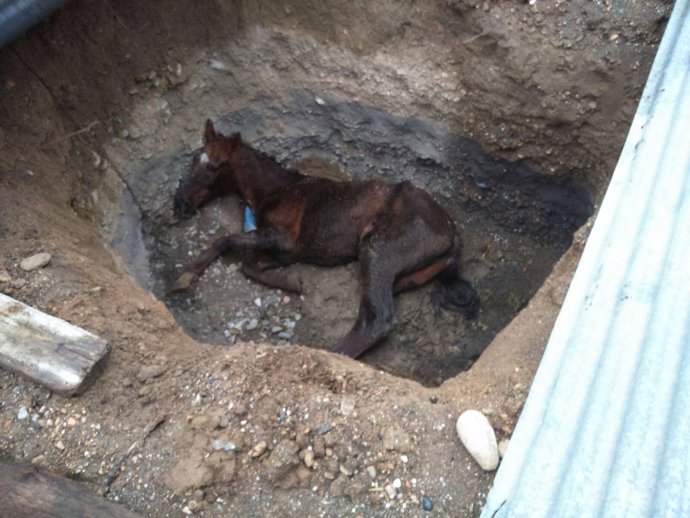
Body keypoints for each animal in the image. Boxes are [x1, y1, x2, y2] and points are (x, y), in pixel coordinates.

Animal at [171, 120, 478, 360]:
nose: (179, 204)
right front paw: (291, 281)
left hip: (377, 251)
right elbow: (250, 264)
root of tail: (451, 231)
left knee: (375, 321)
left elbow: (226, 242)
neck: (277, 190)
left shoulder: (285, 239)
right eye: (194, 160)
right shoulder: (288, 250)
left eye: (214, 167)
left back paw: (330, 356)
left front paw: (186, 275)